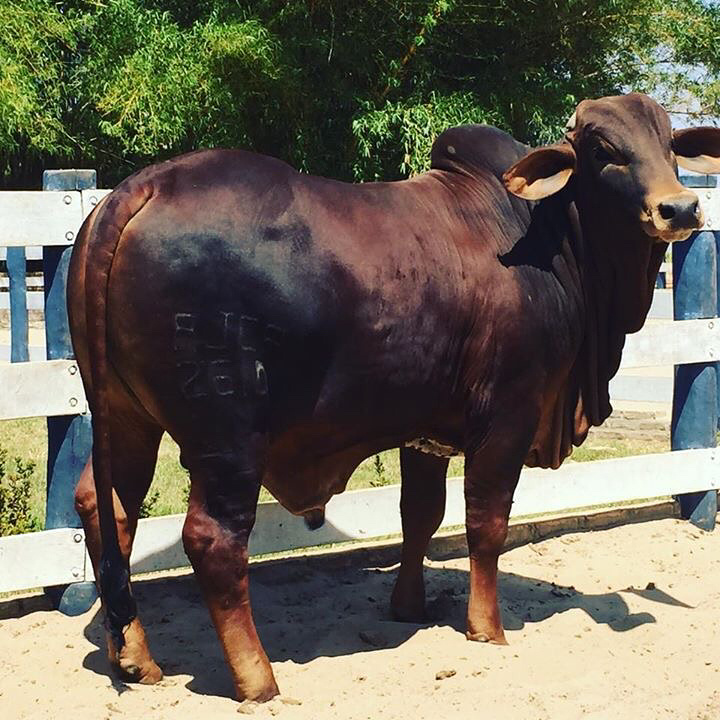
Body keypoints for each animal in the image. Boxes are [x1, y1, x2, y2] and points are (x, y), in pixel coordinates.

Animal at [67, 93, 720, 700]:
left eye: (669, 143)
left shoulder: (423, 426)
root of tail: (146, 186)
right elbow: (487, 522)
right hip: (227, 437)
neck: (550, 241)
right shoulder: (510, 414)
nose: (681, 207)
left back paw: (134, 658)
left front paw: (409, 606)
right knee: (213, 539)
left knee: (108, 507)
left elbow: (420, 515)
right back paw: (258, 679)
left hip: (123, 415)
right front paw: (487, 629)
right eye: (603, 150)